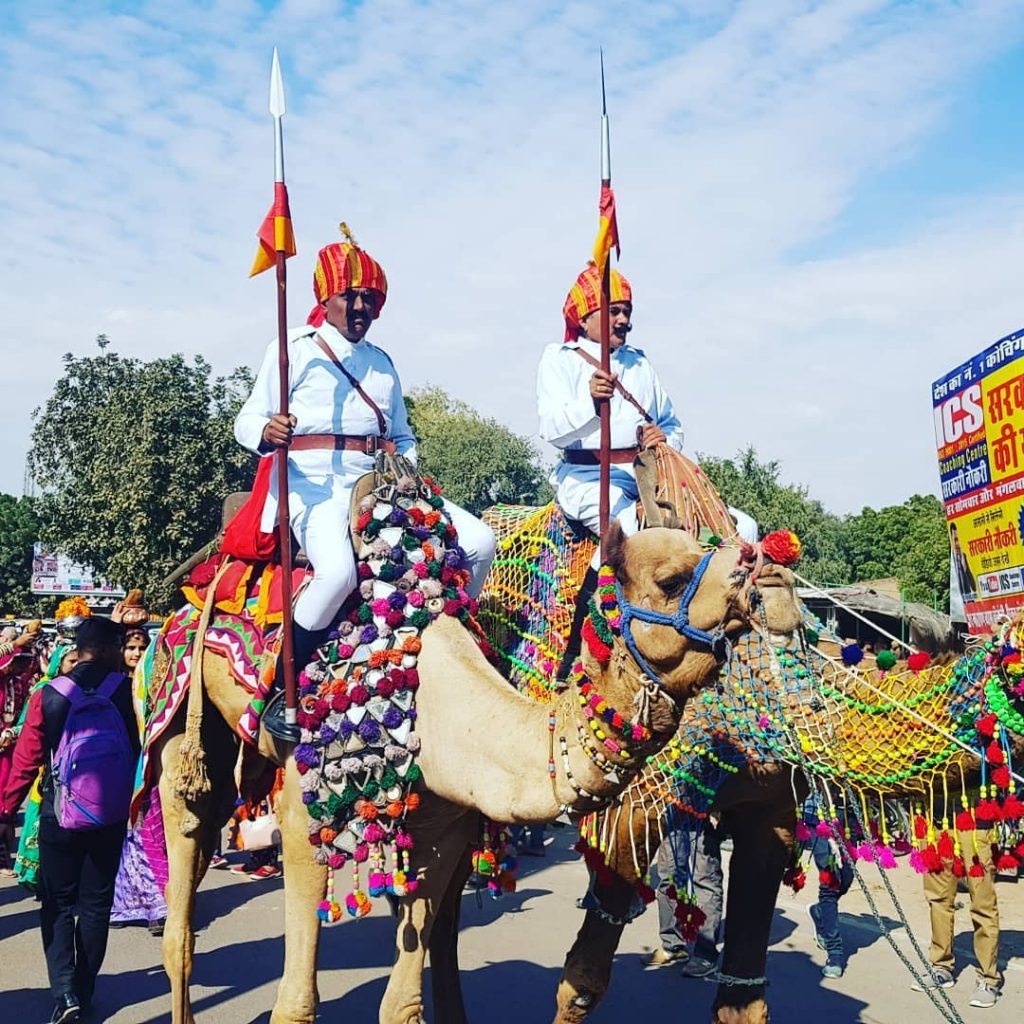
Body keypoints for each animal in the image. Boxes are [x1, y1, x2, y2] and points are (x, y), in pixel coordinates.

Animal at [142, 460, 798, 1019]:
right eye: (671, 576)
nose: (764, 572)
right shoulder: (303, 816)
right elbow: (297, 1003)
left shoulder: (443, 823)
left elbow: (403, 998)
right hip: (180, 722)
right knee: (184, 882)